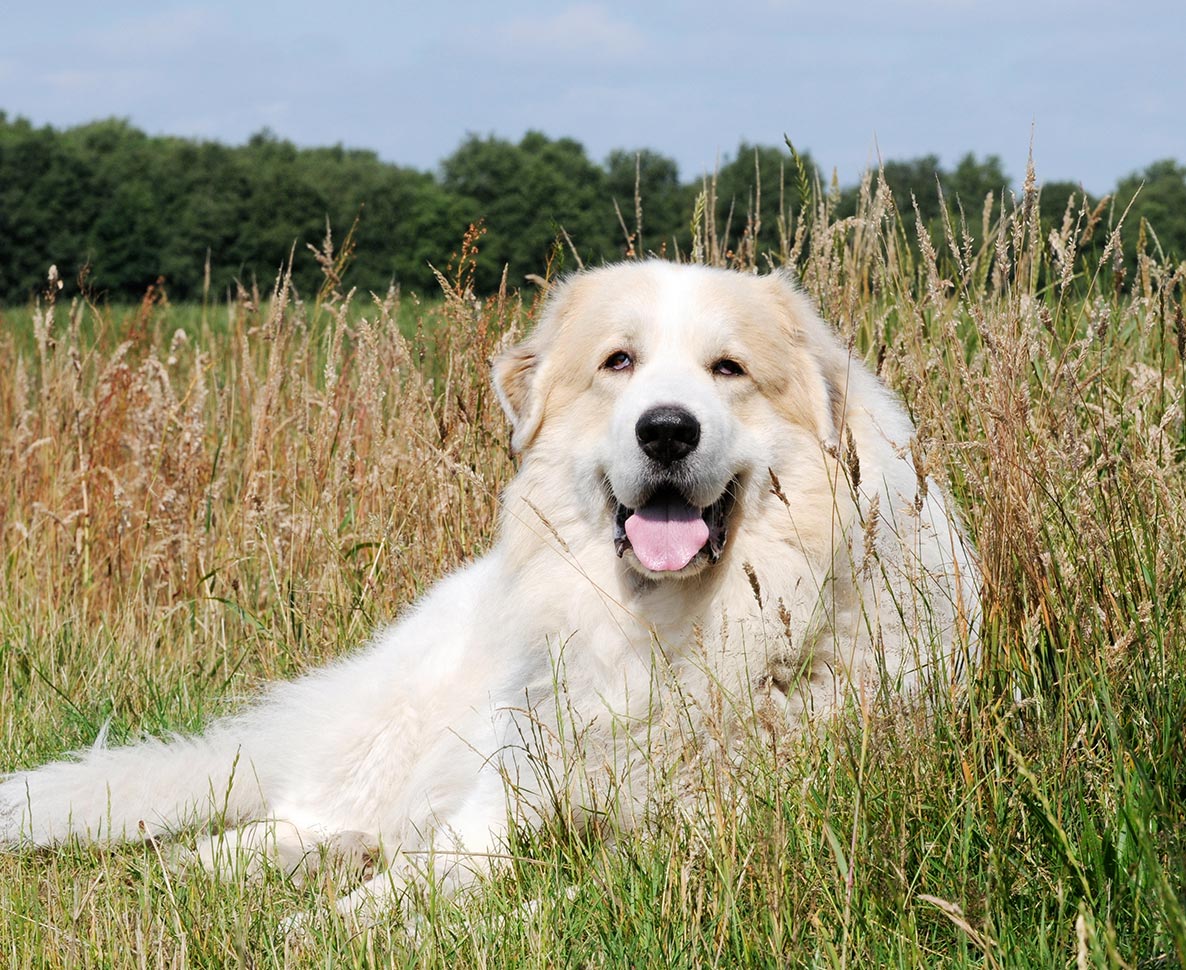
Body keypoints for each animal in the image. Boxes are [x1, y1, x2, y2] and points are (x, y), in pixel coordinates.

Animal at [0, 258, 982, 920]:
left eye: (729, 370)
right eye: (619, 364)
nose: (667, 430)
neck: (664, 630)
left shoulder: (697, 846)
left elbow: (555, 898)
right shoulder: (506, 796)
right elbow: (442, 871)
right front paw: (341, 924)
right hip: (412, 724)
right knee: (306, 811)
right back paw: (240, 866)